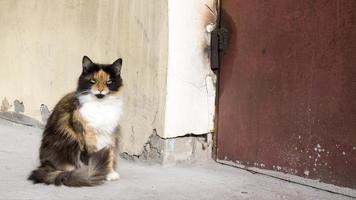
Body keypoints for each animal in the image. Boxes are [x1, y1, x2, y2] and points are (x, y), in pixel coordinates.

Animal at [27, 55, 124, 186]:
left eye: (109, 82)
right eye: (93, 81)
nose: (100, 90)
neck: (101, 106)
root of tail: (45, 165)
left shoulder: (110, 135)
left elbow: (110, 154)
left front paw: (110, 173)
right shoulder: (89, 135)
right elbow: (95, 155)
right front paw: (101, 173)